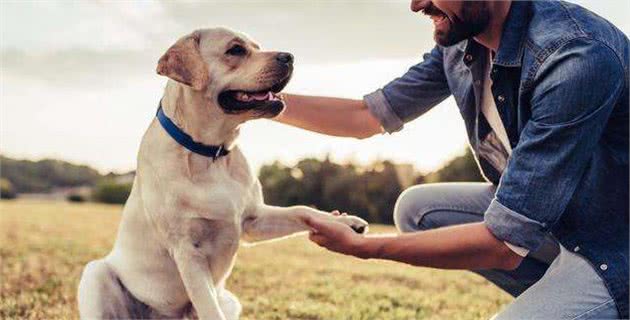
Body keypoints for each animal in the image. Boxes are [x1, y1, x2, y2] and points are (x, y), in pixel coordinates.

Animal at [77, 28, 370, 320]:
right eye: (235, 50)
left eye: (257, 47)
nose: (289, 57)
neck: (211, 154)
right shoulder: (187, 250)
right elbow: (208, 307)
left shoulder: (253, 220)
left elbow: (302, 210)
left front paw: (343, 222)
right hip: (95, 273)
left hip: (231, 300)